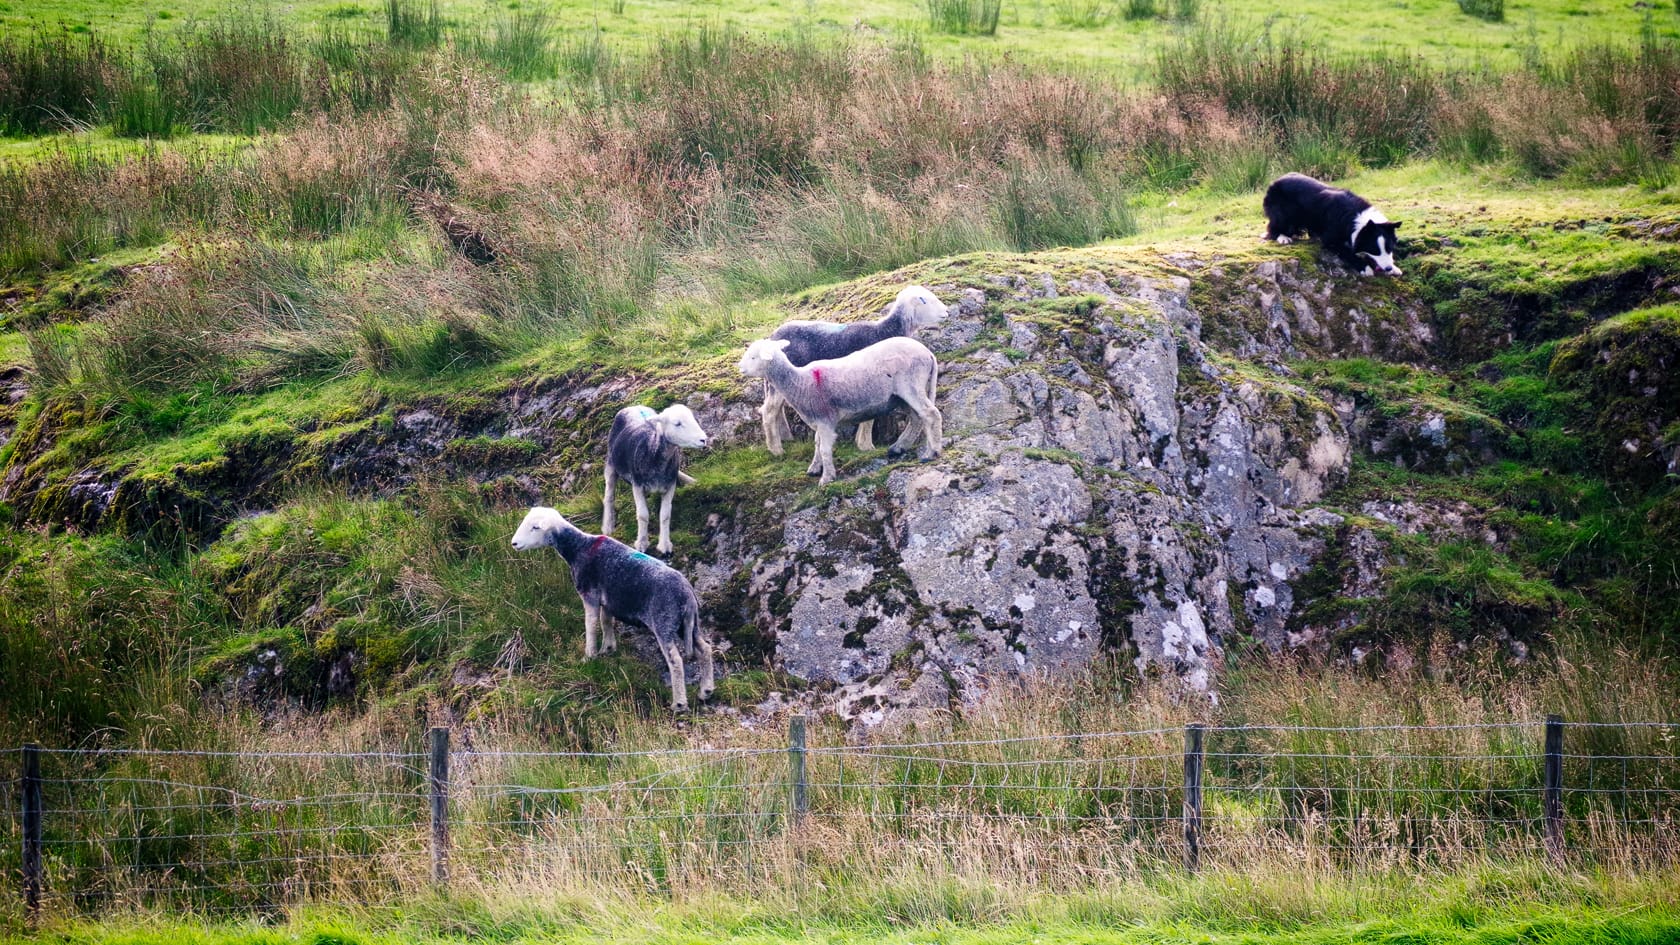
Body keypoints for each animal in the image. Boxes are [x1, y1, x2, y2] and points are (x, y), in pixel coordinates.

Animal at [514, 504, 719, 709]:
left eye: (535, 527)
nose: (514, 543)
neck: (578, 547)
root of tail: (687, 594)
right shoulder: (608, 600)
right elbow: (606, 622)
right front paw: (608, 648)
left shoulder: (590, 595)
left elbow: (591, 624)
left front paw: (589, 656)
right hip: (689, 624)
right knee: (705, 649)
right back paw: (706, 691)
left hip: (664, 621)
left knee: (675, 660)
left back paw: (679, 704)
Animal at [604, 403, 708, 551]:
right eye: (677, 423)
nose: (704, 440)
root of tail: (634, 406)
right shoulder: (637, 485)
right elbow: (642, 515)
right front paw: (642, 543)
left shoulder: (670, 486)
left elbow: (665, 515)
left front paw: (664, 544)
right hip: (611, 463)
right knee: (609, 495)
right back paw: (608, 526)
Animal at [739, 334, 947, 484]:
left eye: (753, 356)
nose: (740, 368)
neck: (800, 382)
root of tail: (927, 353)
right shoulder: (819, 420)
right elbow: (817, 444)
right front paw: (815, 468)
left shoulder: (825, 419)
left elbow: (824, 448)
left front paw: (827, 478)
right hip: (898, 396)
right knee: (917, 417)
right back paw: (899, 447)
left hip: (911, 384)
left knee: (931, 414)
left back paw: (932, 453)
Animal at [762, 280, 947, 454]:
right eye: (925, 300)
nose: (946, 312)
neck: (884, 331)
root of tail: (773, 336)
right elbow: (870, 415)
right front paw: (866, 445)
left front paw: (862, 442)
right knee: (769, 411)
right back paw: (776, 449)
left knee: (777, 409)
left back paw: (786, 437)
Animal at [1263, 173, 1397, 275]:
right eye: (1375, 250)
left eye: (1389, 248)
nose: (1388, 268)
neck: (1356, 217)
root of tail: (1275, 181)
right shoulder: (1332, 238)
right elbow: (1345, 251)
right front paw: (1365, 268)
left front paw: (1395, 269)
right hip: (1283, 212)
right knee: (1275, 226)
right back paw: (1283, 237)